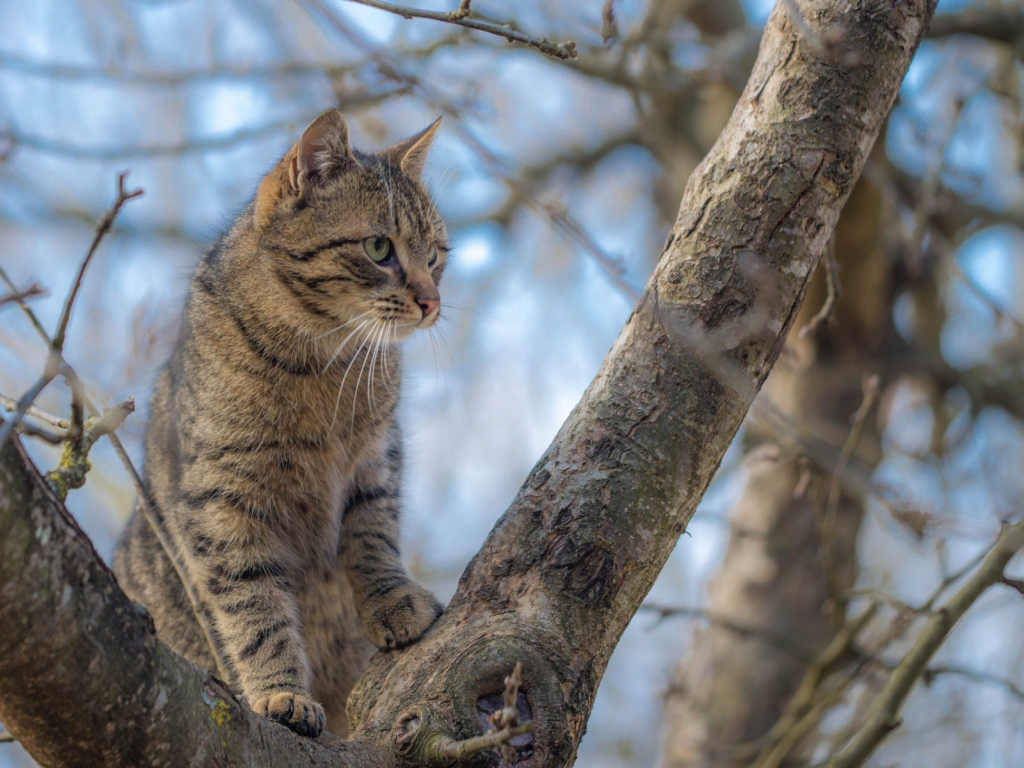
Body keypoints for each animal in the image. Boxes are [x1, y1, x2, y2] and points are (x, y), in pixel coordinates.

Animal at [113, 109, 448, 741]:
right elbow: (256, 611)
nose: (431, 302)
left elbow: (373, 540)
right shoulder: (222, 505)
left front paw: (391, 601)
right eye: (379, 247)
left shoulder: (377, 459)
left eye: (437, 255)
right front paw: (280, 693)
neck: (323, 364)